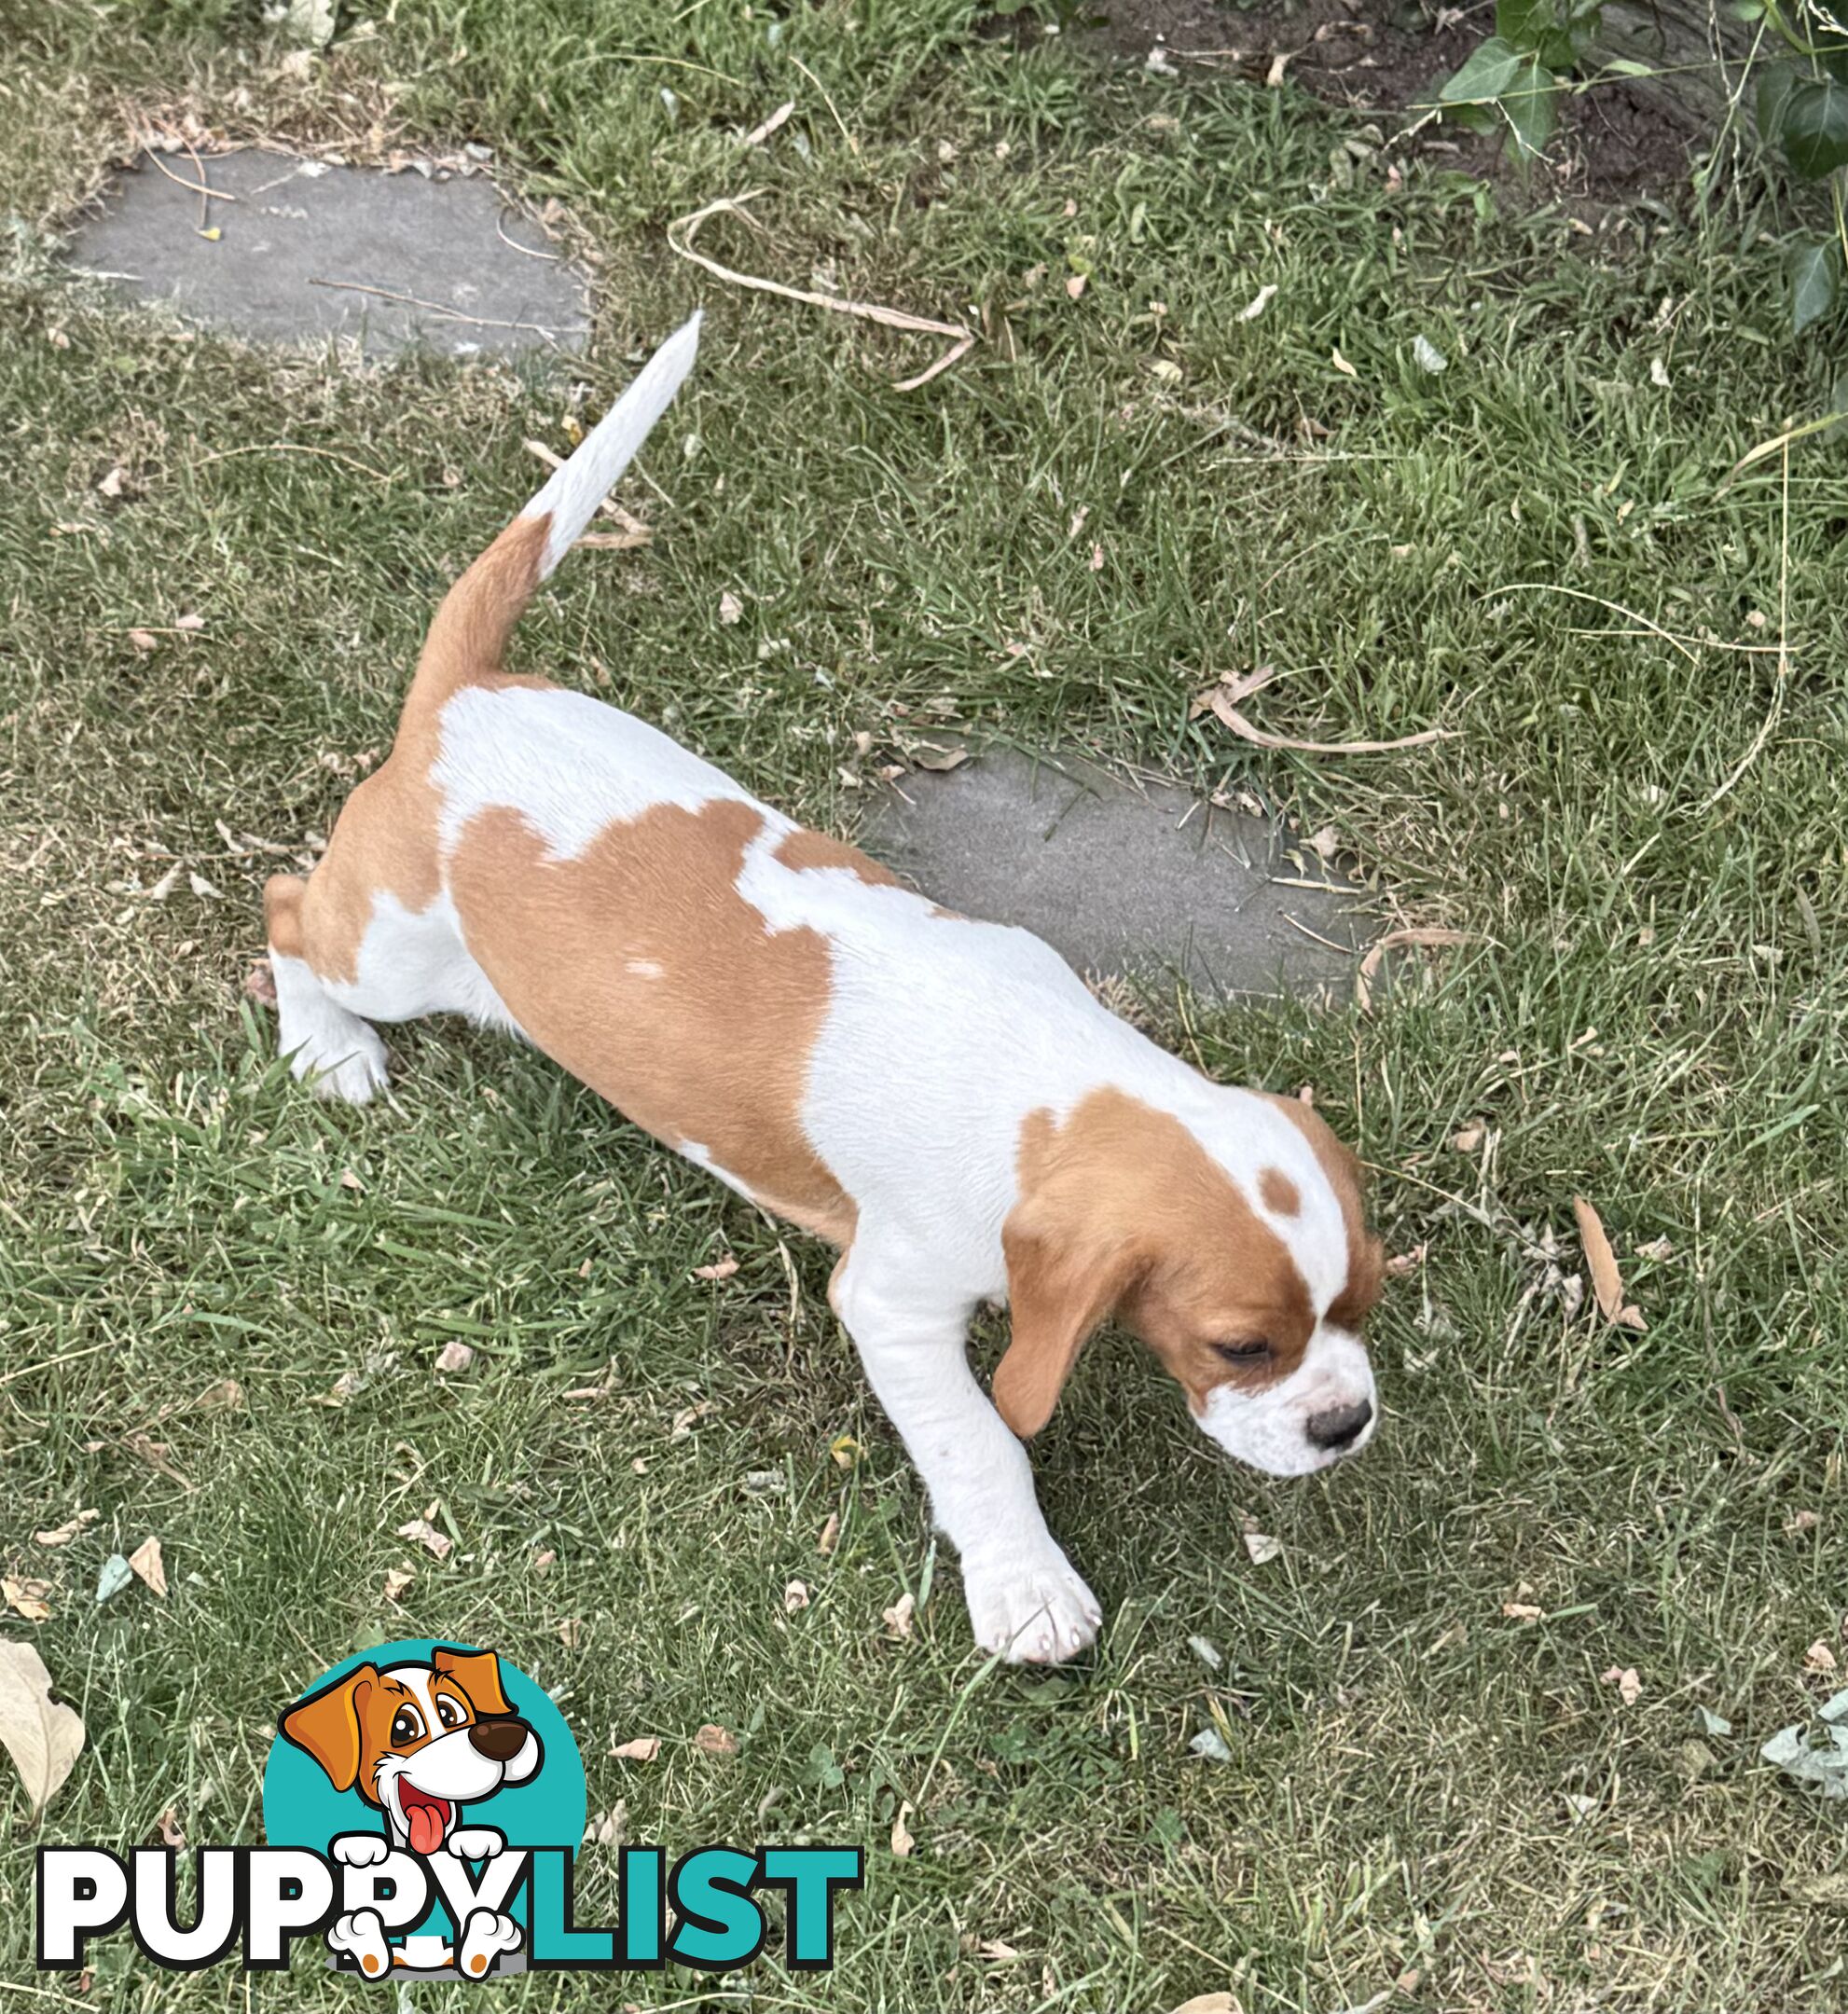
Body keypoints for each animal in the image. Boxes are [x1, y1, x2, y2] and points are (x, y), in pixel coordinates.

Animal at [263, 313, 1385, 1667]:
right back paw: (325, 1048)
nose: (1345, 1425)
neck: (1060, 1085)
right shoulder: (892, 1304)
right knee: (283, 908)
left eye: (1365, 1301)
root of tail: (462, 702)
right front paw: (1025, 1588)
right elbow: (982, 1446)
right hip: (387, 948)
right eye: (1239, 1346)